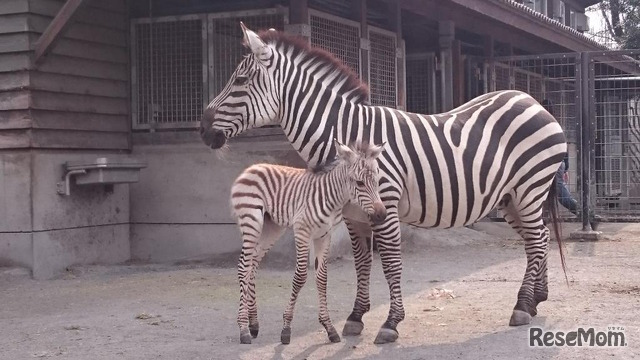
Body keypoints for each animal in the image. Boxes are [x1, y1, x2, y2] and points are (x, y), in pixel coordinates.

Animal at [232, 139, 388, 344]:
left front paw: (329, 328)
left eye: (377, 181)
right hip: (251, 221)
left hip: (272, 228)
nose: (381, 215)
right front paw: (286, 328)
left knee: (253, 263)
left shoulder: (325, 235)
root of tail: (251, 168)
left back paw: (254, 324)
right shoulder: (302, 231)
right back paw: (243, 329)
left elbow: (322, 278)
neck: (332, 198)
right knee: (244, 265)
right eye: (359, 183)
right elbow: (300, 277)